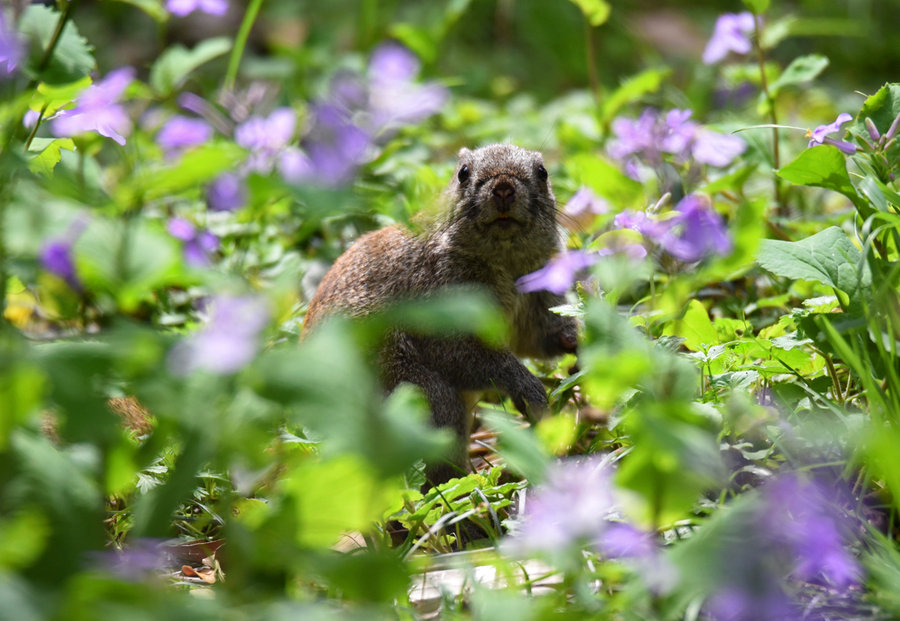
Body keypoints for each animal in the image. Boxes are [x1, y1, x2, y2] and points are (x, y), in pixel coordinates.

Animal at [304, 145, 576, 484]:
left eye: (542, 171)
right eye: (462, 173)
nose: (503, 188)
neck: (505, 260)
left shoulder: (535, 302)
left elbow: (540, 336)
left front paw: (579, 339)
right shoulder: (439, 304)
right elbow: (464, 354)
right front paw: (528, 387)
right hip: (409, 390)